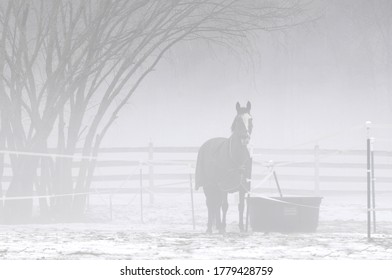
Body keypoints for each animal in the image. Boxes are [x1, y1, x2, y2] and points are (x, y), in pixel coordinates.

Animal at [194, 101, 253, 233]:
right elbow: (224, 206)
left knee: (216, 205)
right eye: (238, 120)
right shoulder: (224, 186)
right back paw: (210, 228)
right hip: (208, 186)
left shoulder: (242, 187)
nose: (245, 138)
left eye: (251, 119)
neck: (236, 158)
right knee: (210, 204)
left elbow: (241, 206)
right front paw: (223, 228)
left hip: (216, 187)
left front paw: (242, 228)